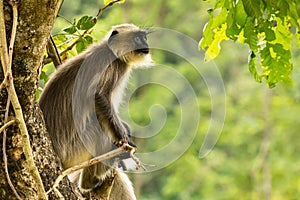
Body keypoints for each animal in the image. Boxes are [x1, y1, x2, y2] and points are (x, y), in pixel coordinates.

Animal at [38, 23, 152, 198]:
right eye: (138, 38)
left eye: (144, 37)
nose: (145, 45)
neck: (110, 50)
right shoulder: (114, 66)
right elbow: (98, 97)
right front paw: (124, 138)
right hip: (75, 148)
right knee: (101, 128)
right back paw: (90, 181)